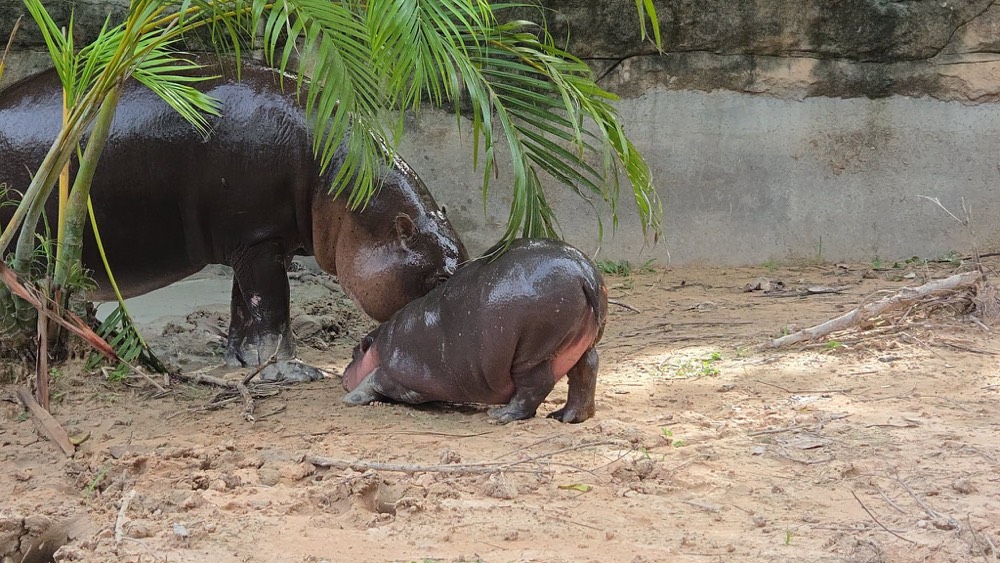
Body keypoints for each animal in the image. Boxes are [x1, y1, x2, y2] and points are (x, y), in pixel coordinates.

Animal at [0, 58, 468, 381]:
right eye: (441, 279)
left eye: (467, 262)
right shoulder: (259, 240)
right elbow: (272, 310)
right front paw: (291, 372)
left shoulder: (256, 242)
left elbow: (244, 307)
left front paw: (241, 361)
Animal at [341, 238, 608, 423]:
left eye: (353, 353)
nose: (344, 376)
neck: (378, 347)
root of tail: (583, 271)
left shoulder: (398, 373)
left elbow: (374, 378)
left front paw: (349, 399)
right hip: (580, 343)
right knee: (586, 371)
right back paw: (566, 417)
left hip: (532, 353)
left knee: (535, 387)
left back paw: (501, 416)